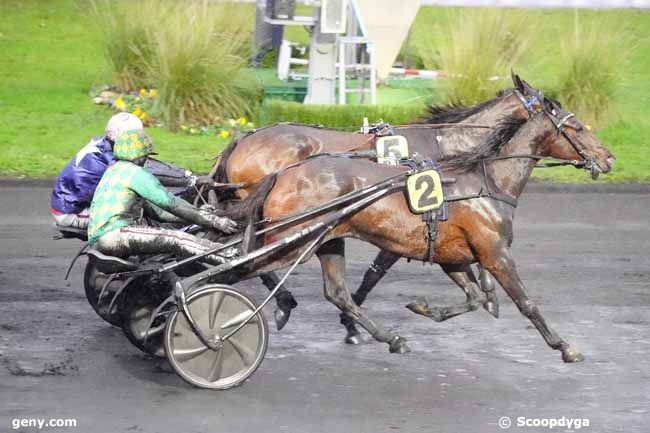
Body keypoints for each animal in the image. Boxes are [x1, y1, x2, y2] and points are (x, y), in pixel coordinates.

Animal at [229, 74, 612, 362]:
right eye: (578, 128)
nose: (608, 157)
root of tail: (244, 143)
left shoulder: (447, 249)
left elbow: (473, 293)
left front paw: (452, 304)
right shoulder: (486, 250)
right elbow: (524, 302)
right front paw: (564, 347)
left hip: (325, 238)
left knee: (330, 289)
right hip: (294, 238)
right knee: (247, 265)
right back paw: (277, 306)